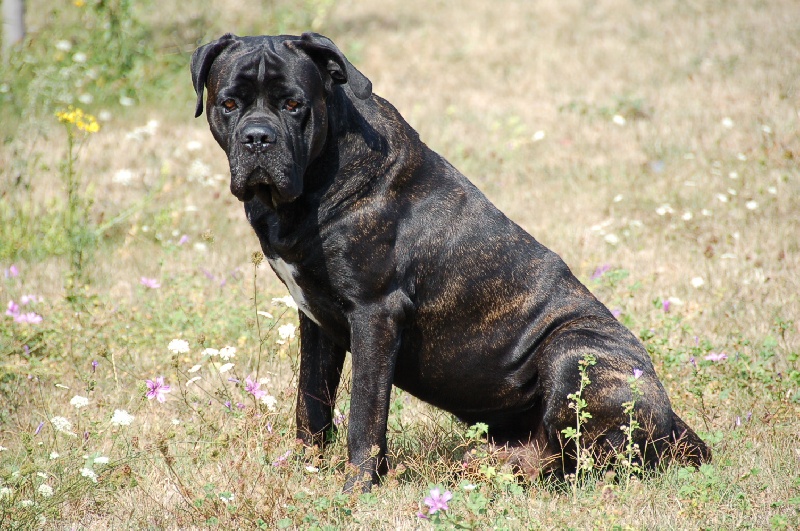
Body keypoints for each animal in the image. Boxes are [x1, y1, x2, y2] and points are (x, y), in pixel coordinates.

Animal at [191, 31, 708, 492]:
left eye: (294, 105)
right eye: (230, 104)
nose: (258, 138)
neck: (315, 180)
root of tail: (674, 422)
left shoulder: (375, 312)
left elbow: (364, 414)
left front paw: (356, 488)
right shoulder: (316, 319)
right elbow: (311, 402)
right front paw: (302, 469)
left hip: (573, 351)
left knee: (587, 462)